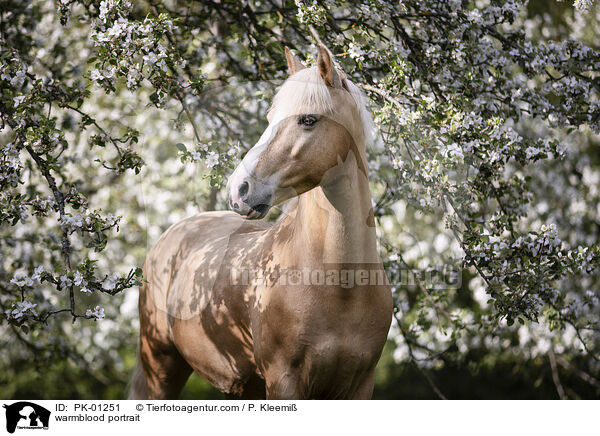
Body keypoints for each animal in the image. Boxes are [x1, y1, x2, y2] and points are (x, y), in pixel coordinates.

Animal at [130, 44, 394, 398]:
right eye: (269, 119)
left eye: (308, 120)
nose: (239, 189)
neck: (341, 286)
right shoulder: (284, 381)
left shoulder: (360, 385)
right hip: (161, 370)